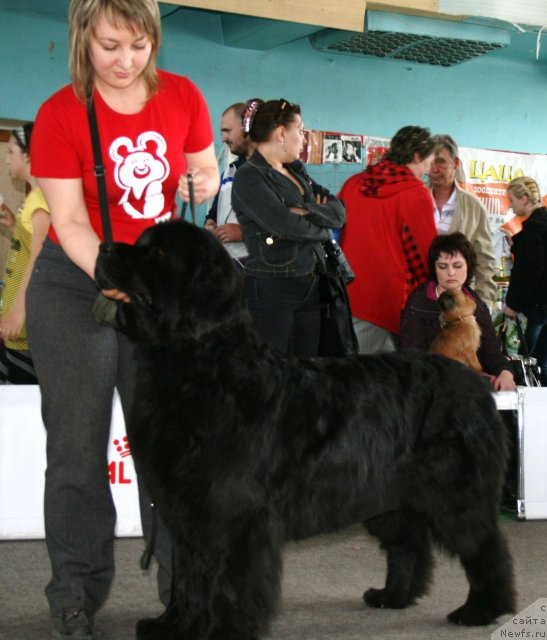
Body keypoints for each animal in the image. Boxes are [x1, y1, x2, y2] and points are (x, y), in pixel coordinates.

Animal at [96, 221, 516, 640]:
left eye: (158, 252)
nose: (103, 248)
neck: (200, 366)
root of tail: (475, 383)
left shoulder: (232, 512)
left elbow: (227, 581)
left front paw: (224, 630)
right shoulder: (186, 509)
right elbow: (188, 574)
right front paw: (173, 624)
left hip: (455, 491)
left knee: (486, 547)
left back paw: (481, 609)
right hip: (390, 494)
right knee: (408, 544)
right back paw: (392, 595)